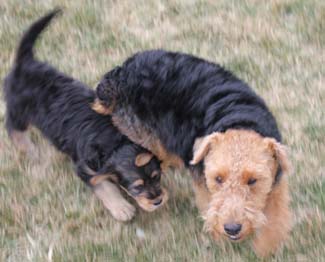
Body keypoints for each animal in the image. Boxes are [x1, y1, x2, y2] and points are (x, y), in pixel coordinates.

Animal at [3, 11, 167, 222]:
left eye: (157, 177)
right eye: (137, 187)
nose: (158, 201)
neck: (114, 143)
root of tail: (25, 62)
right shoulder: (85, 168)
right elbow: (104, 186)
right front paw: (122, 209)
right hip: (19, 111)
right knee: (12, 127)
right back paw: (28, 148)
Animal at [93, 49, 292, 256]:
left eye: (253, 180)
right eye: (218, 179)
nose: (232, 229)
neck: (239, 120)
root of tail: (118, 74)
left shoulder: (277, 183)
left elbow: (276, 218)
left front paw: (266, 247)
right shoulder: (202, 182)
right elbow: (208, 206)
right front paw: (220, 238)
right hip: (141, 135)